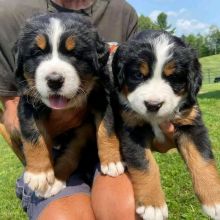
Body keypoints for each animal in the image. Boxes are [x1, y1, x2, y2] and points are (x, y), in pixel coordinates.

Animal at [111, 29, 220, 220]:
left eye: (173, 77)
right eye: (138, 75)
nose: (153, 105)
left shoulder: (191, 124)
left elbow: (202, 160)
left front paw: (214, 200)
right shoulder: (132, 128)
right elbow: (145, 164)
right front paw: (152, 205)